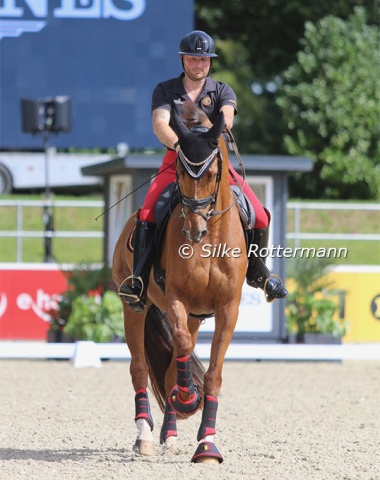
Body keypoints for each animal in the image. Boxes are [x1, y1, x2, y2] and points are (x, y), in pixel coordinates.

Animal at [110, 102, 246, 464]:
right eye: (181, 174)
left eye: (213, 174)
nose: (193, 232)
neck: (210, 240)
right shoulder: (175, 298)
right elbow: (181, 346)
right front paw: (186, 399)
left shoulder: (227, 308)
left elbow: (212, 373)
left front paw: (207, 444)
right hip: (136, 308)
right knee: (139, 369)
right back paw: (144, 436)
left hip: (197, 317)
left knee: (170, 367)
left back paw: (170, 434)